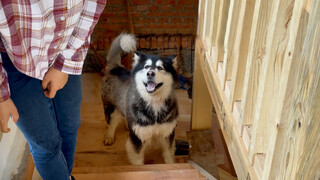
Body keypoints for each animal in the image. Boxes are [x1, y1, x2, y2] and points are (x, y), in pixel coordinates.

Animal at [100, 32, 179, 165]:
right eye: (146, 67)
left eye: (160, 68)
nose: (150, 73)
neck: (154, 103)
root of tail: (115, 68)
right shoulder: (137, 138)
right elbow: (138, 161)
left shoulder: (167, 133)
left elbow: (168, 156)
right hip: (111, 108)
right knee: (111, 123)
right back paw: (109, 136)